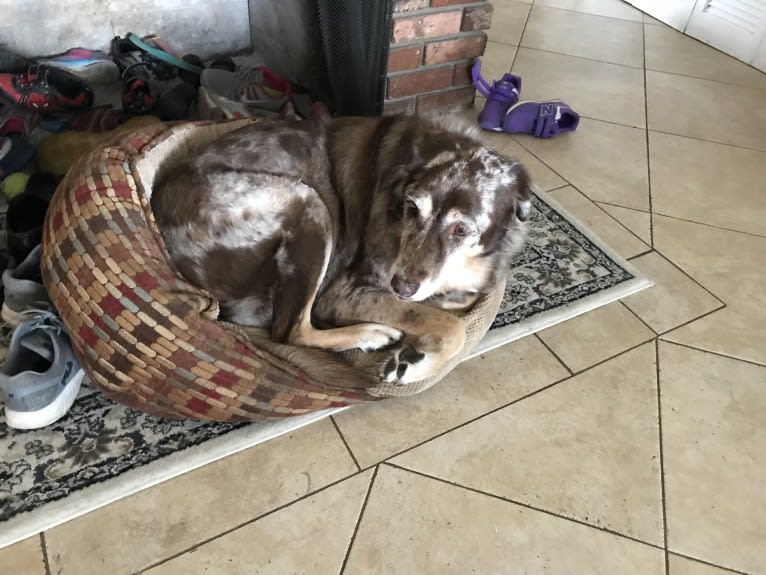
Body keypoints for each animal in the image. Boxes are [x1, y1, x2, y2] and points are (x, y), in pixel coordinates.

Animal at [152, 114, 532, 384]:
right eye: (412, 209)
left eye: (461, 229)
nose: (401, 286)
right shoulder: (346, 292)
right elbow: (452, 327)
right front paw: (413, 364)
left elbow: (451, 306)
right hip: (307, 203)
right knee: (291, 331)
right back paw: (369, 334)